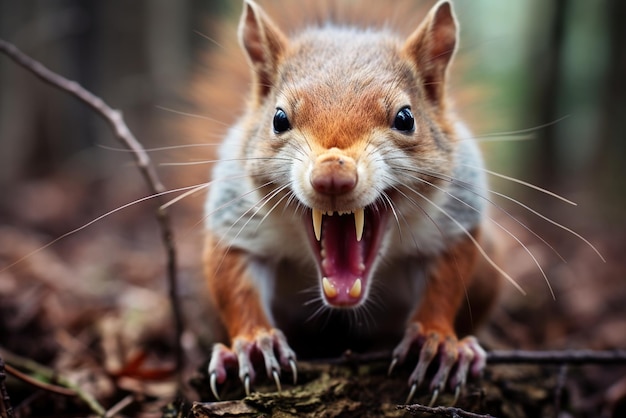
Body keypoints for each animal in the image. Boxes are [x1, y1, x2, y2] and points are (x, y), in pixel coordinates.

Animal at [202, 0, 500, 404]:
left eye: (406, 118)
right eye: (278, 119)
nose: (332, 174)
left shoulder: (455, 218)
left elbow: (446, 283)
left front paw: (437, 341)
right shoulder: (237, 219)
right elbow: (235, 283)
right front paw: (254, 343)